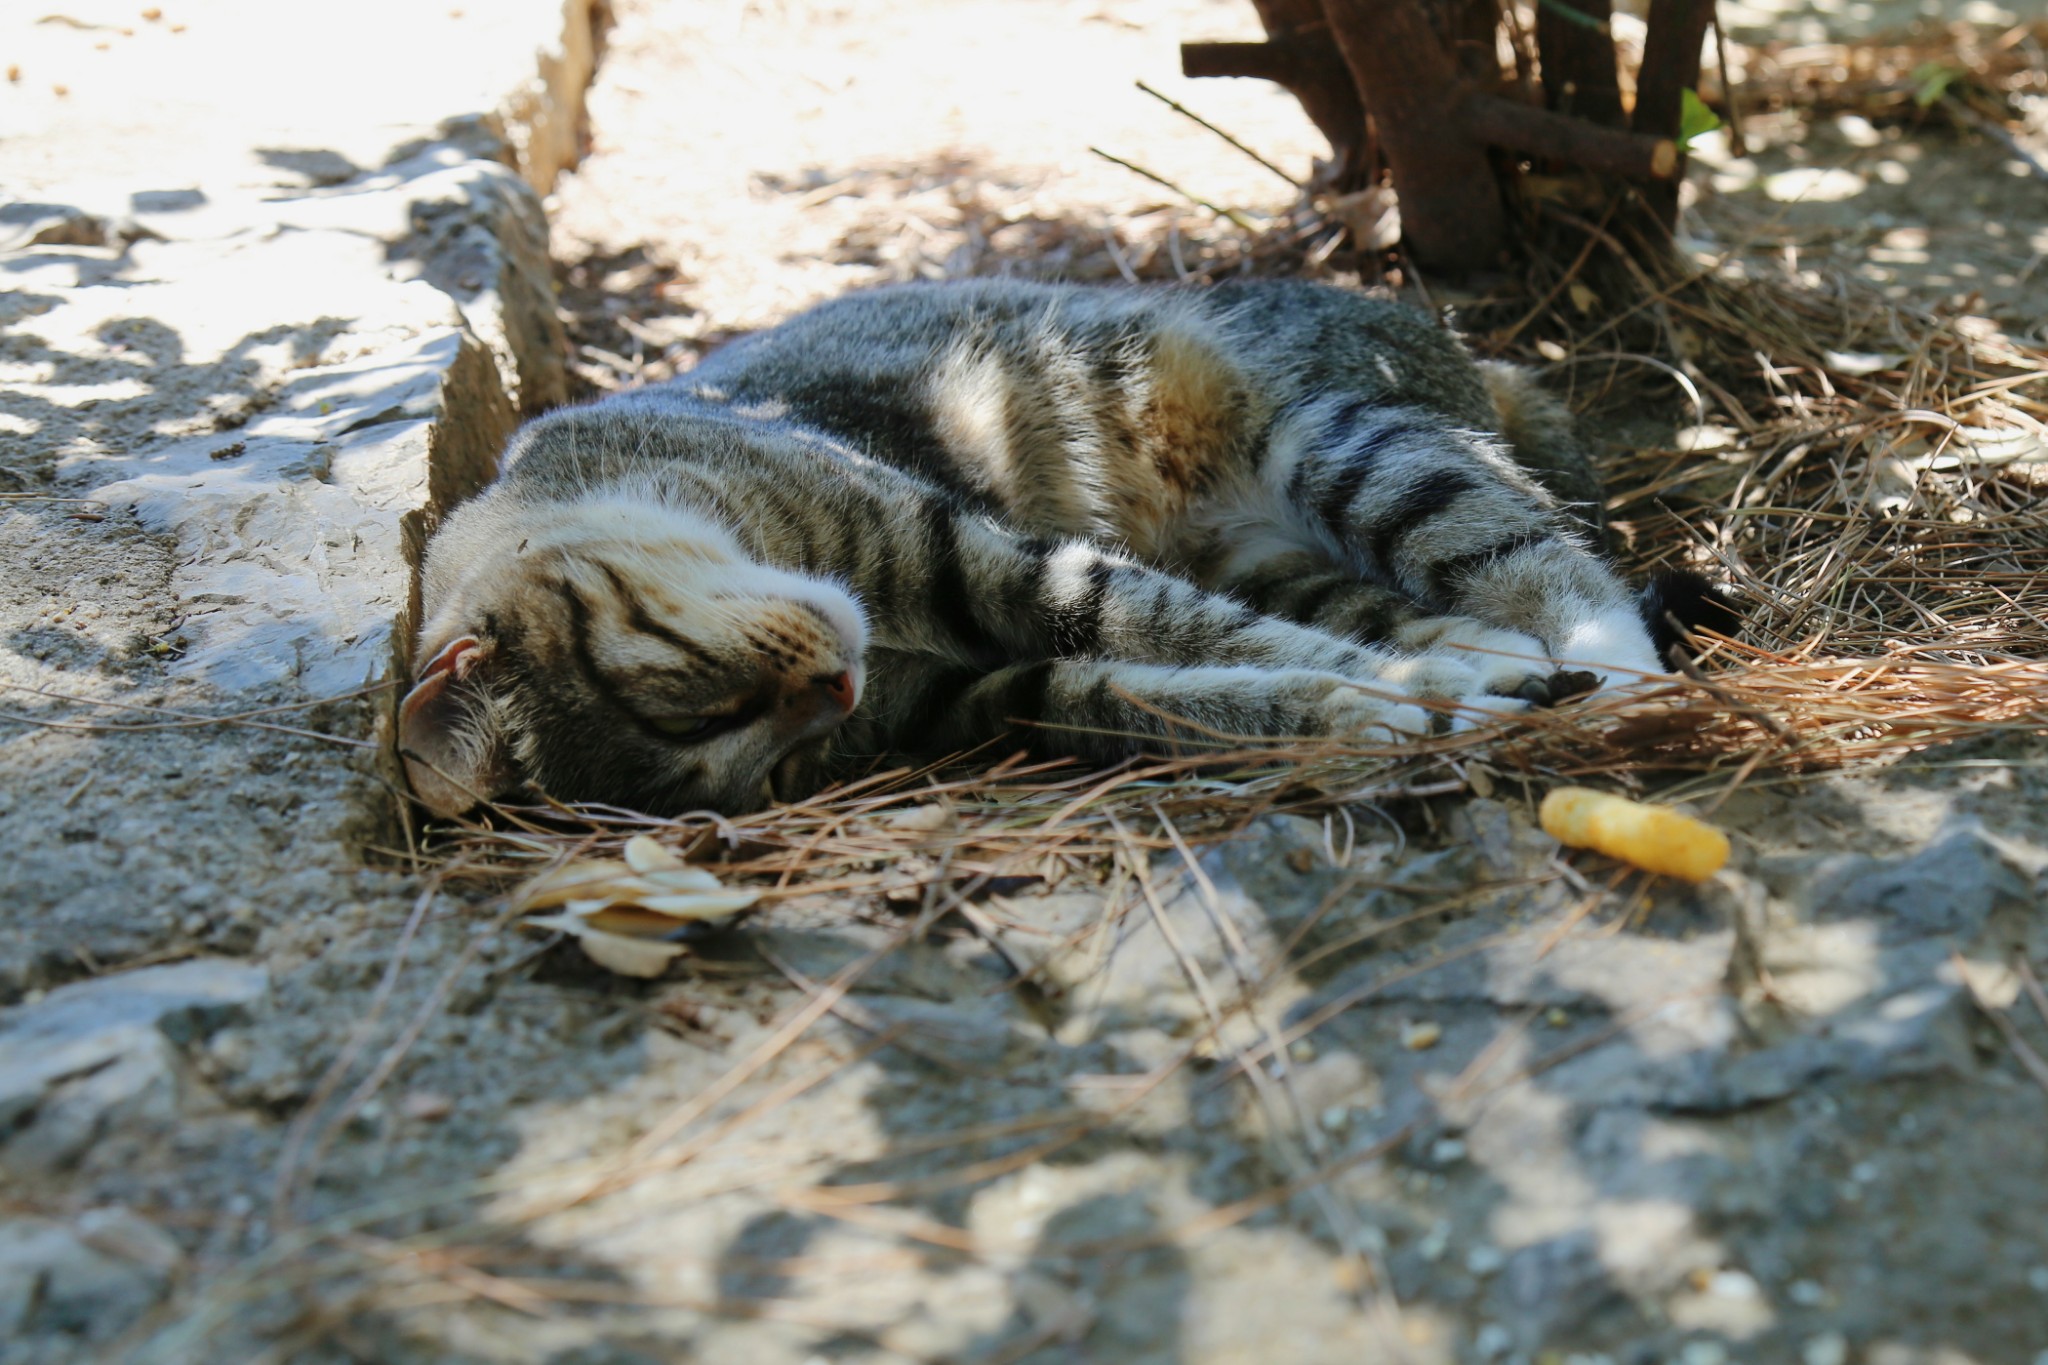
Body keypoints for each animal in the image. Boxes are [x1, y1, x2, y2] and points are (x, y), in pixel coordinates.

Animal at [399, 274, 1712, 810]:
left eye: (677, 694)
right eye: (775, 776)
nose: (833, 688)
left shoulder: (971, 553)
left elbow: (1157, 623)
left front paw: (1414, 696)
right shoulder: (974, 702)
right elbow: (1152, 691)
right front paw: (1367, 710)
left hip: (1339, 441)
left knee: (1533, 553)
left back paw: (1612, 679)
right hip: (1274, 552)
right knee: (1407, 607)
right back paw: (1501, 666)